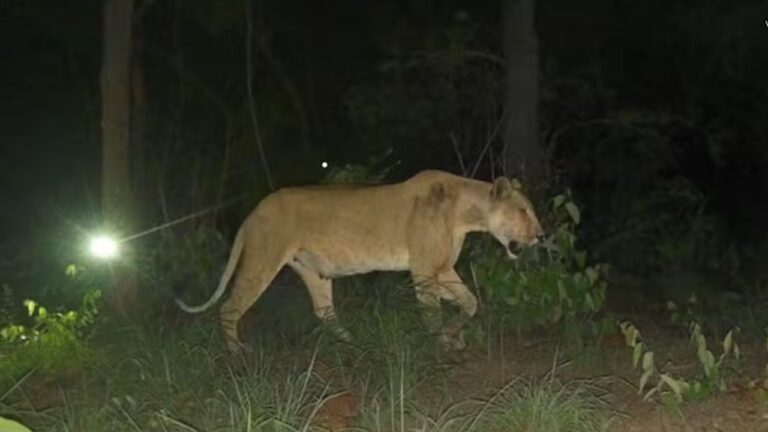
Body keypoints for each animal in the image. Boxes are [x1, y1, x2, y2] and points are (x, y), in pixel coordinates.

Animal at [176, 170, 544, 353]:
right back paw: (237, 353)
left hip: (313, 272)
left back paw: (354, 344)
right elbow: (432, 311)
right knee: (229, 308)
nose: (541, 235)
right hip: (262, 261)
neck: (467, 213)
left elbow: (470, 302)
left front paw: (455, 335)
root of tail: (253, 211)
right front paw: (441, 344)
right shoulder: (424, 270)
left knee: (324, 312)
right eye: (523, 211)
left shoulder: (441, 268)